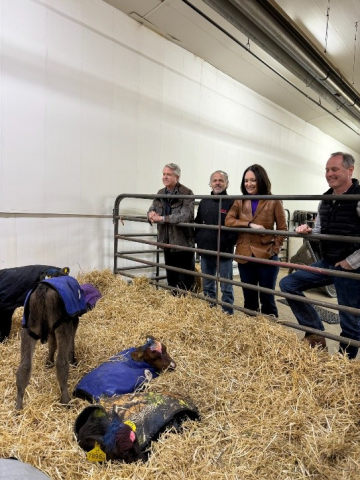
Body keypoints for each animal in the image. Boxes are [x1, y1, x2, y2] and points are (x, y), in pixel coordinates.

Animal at [16, 274, 88, 408]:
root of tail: (43, 289)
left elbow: (52, 344)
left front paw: (49, 362)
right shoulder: (73, 320)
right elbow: (71, 341)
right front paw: (73, 360)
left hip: (29, 328)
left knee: (25, 365)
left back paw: (18, 406)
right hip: (62, 325)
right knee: (61, 362)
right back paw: (66, 401)